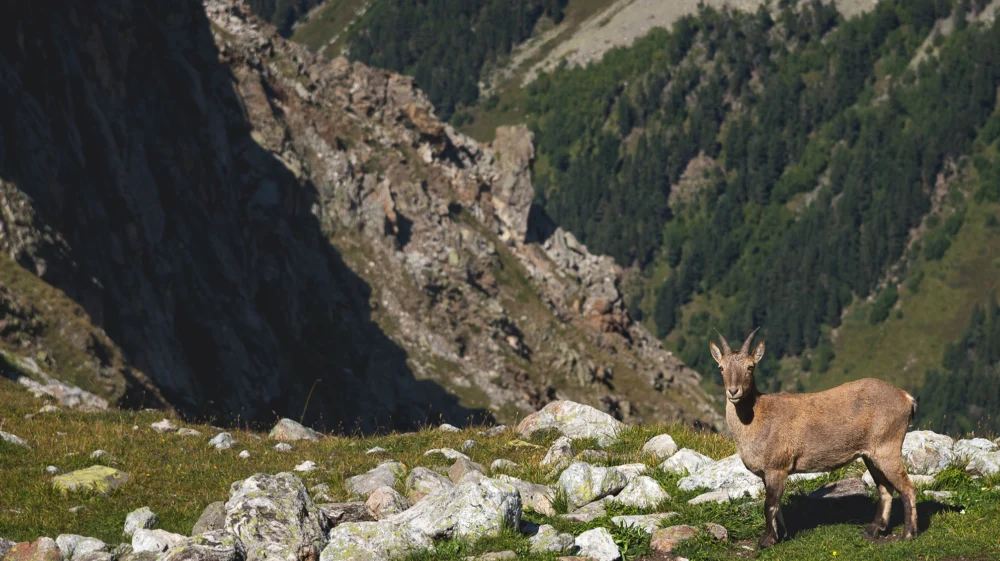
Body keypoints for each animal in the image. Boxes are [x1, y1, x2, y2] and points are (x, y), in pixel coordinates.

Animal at [710, 328, 917, 548]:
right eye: (721, 367)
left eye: (750, 366)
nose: (733, 391)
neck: (756, 416)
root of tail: (906, 398)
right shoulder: (770, 473)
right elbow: (777, 505)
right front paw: (782, 534)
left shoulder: (776, 467)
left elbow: (770, 504)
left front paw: (767, 540)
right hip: (871, 455)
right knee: (885, 488)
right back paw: (873, 530)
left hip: (887, 449)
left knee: (907, 488)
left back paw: (908, 534)